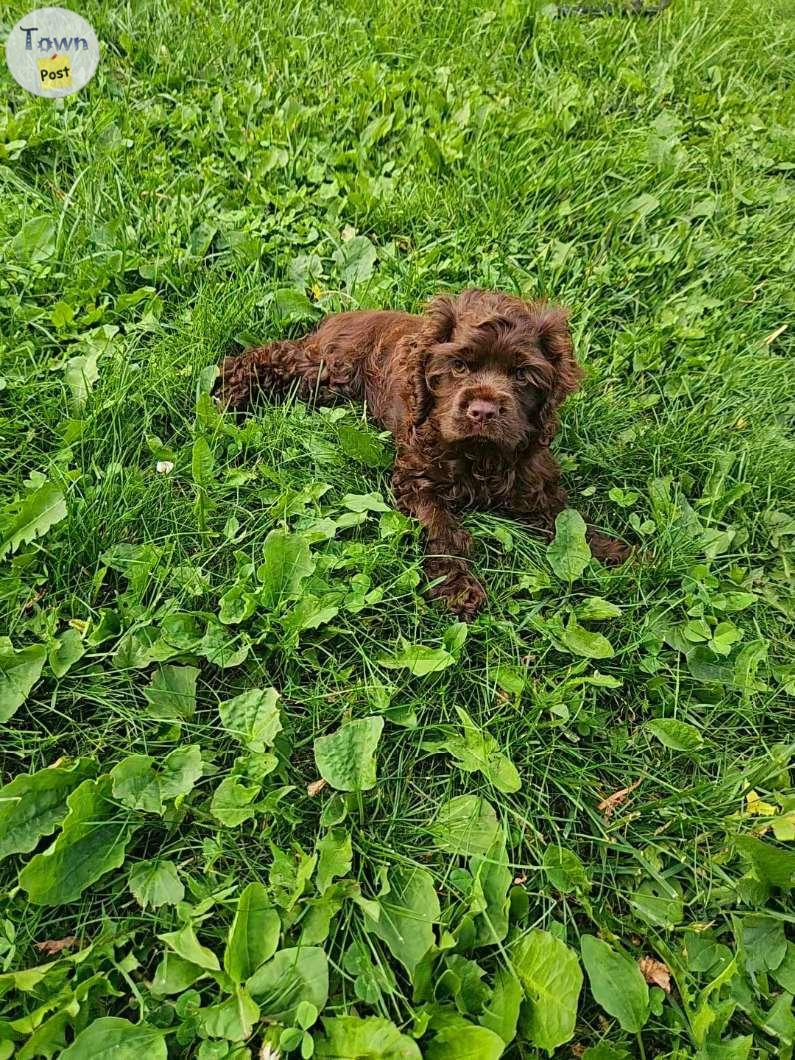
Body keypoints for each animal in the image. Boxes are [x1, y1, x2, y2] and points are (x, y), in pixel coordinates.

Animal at [215, 290, 631, 619]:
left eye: (522, 375)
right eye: (458, 365)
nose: (482, 412)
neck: (480, 456)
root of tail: (341, 314)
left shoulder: (532, 473)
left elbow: (564, 518)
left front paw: (611, 551)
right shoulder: (417, 477)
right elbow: (440, 527)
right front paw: (458, 588)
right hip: (326, 369)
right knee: (270, 357)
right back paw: (227, 394)